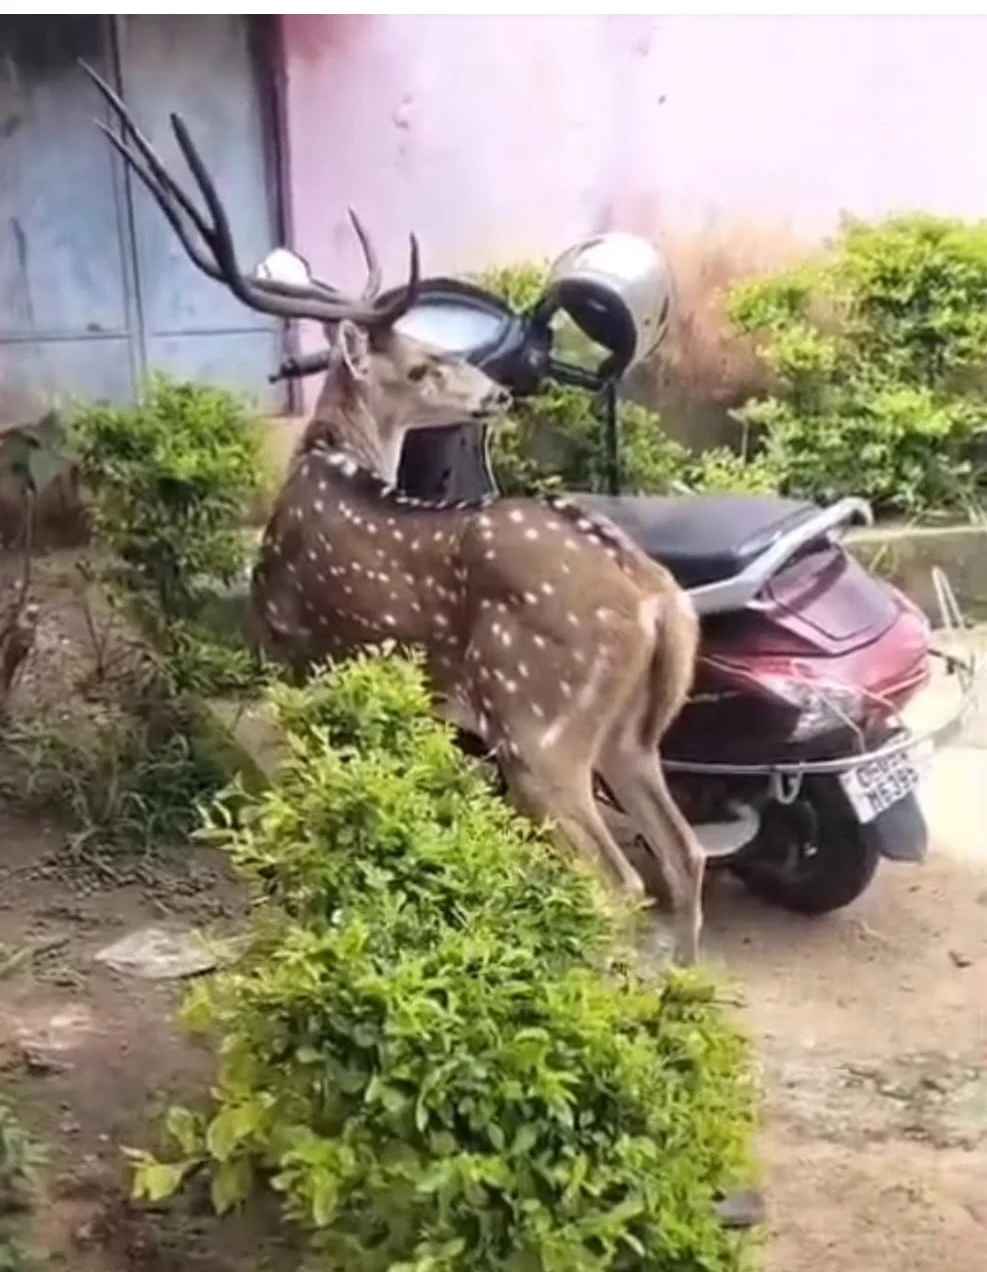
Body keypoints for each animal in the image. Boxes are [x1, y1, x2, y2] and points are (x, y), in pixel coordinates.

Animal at [83, 62, 707, 966]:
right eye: (420, 363)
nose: (496, 391)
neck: (326, 462)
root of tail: (655, 601)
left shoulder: (296, 653)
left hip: (536, 722)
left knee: (621, 881)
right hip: (631, 734)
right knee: (685, 856)